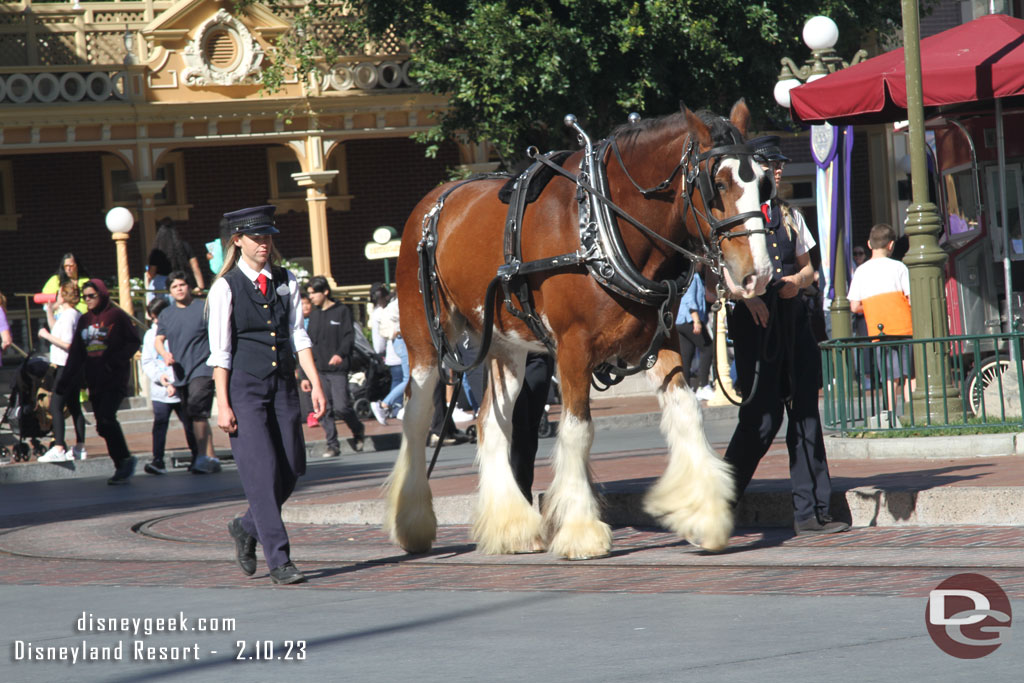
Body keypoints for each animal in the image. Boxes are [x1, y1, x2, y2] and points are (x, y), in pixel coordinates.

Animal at [387, 101, 770, 561]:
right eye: (719, 184)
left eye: (763, 182)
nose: (758, 275)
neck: (604, 227)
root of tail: (433, 202)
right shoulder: (573, 347)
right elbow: (577, 429)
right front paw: (581, 531)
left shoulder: (662, 340)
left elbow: (685, 412)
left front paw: (705, 514)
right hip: (423, 337)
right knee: (416, 415)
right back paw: (413, 524)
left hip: (505, 347)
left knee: (490, 422)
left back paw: (512, 527)